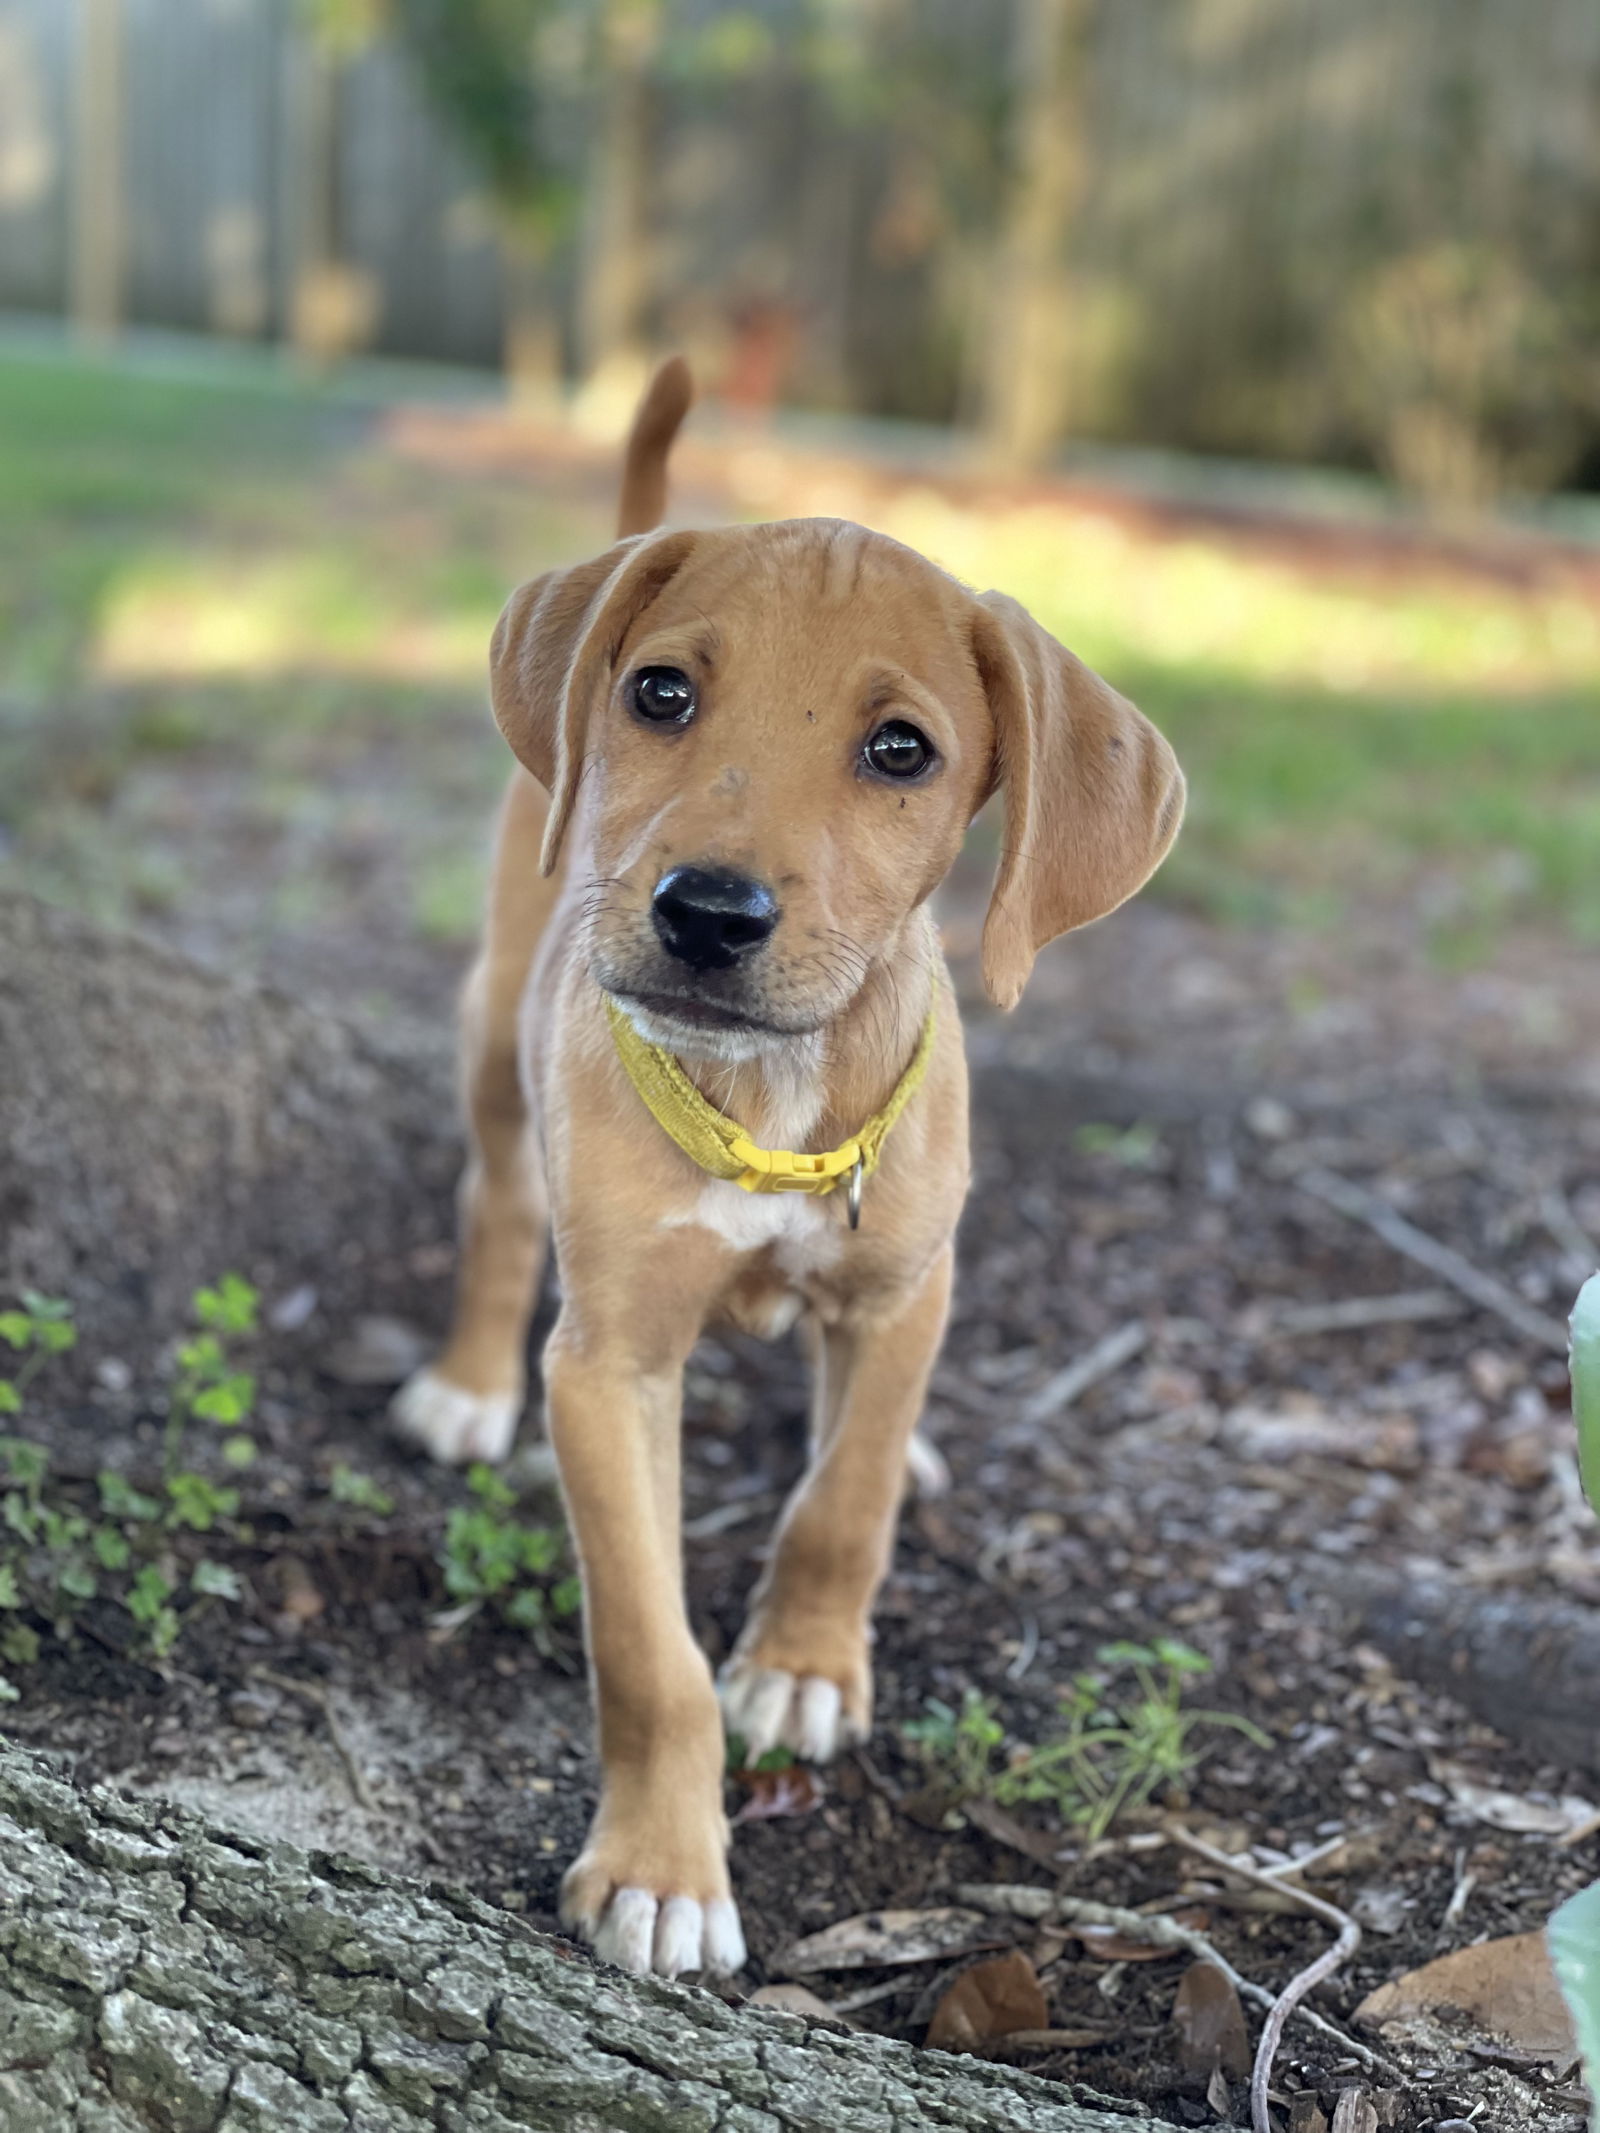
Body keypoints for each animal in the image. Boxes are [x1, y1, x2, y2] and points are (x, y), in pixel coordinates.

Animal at [394, 362, 1186, 1979]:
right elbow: (648, 1649)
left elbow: (849, 1488)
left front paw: (808, 1664)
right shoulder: (611, 1365)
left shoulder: (902, 1288)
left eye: (902, 750)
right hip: (494, 1028)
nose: (706, 913)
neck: (766, 1104)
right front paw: (662, 1874)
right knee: (495, 1205)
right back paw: (467, 1382)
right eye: (660, 694)